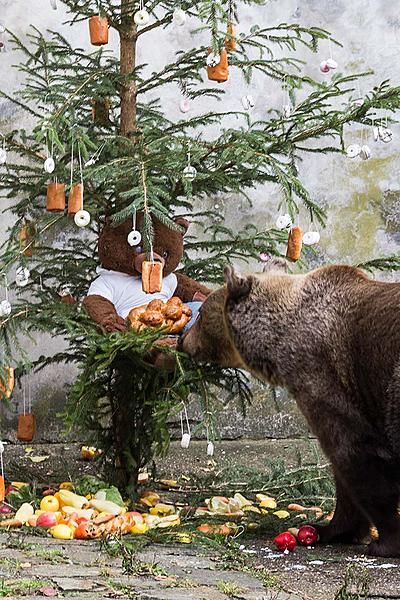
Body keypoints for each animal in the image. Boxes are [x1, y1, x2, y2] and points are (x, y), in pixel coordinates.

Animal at [180, 258, 400, 556]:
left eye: (201, 314)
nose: (182, 341)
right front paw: (329, 528)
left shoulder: (324, 382)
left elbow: (353, 456)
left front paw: (384, 541)